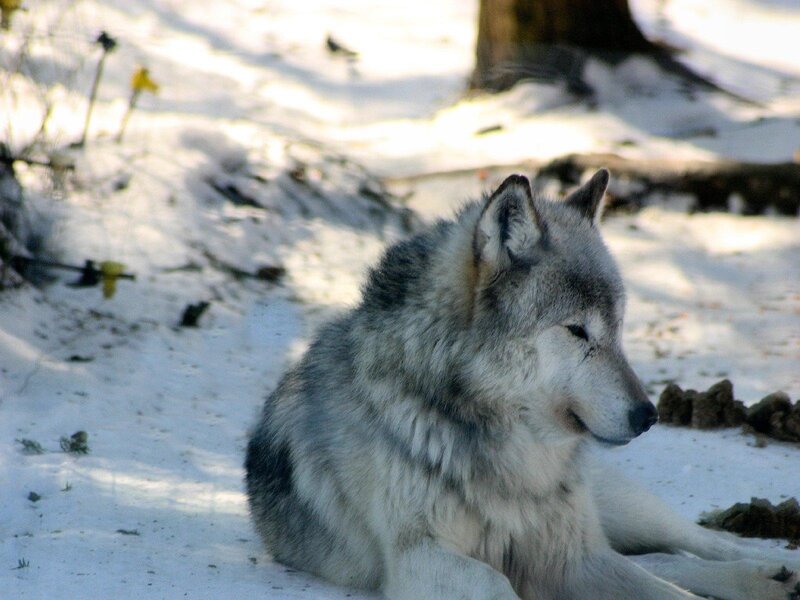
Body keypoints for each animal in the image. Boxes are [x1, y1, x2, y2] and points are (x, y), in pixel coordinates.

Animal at [245, 170, 800, 600]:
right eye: (577, 330)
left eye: (617, 327)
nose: (649, 416)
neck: (509, 456)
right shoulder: (420, 559)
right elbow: (500, 582)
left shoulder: (572, 557)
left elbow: (669, 590)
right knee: (662, 558)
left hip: (621, 507)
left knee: (699, 542)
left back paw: (770, 570)